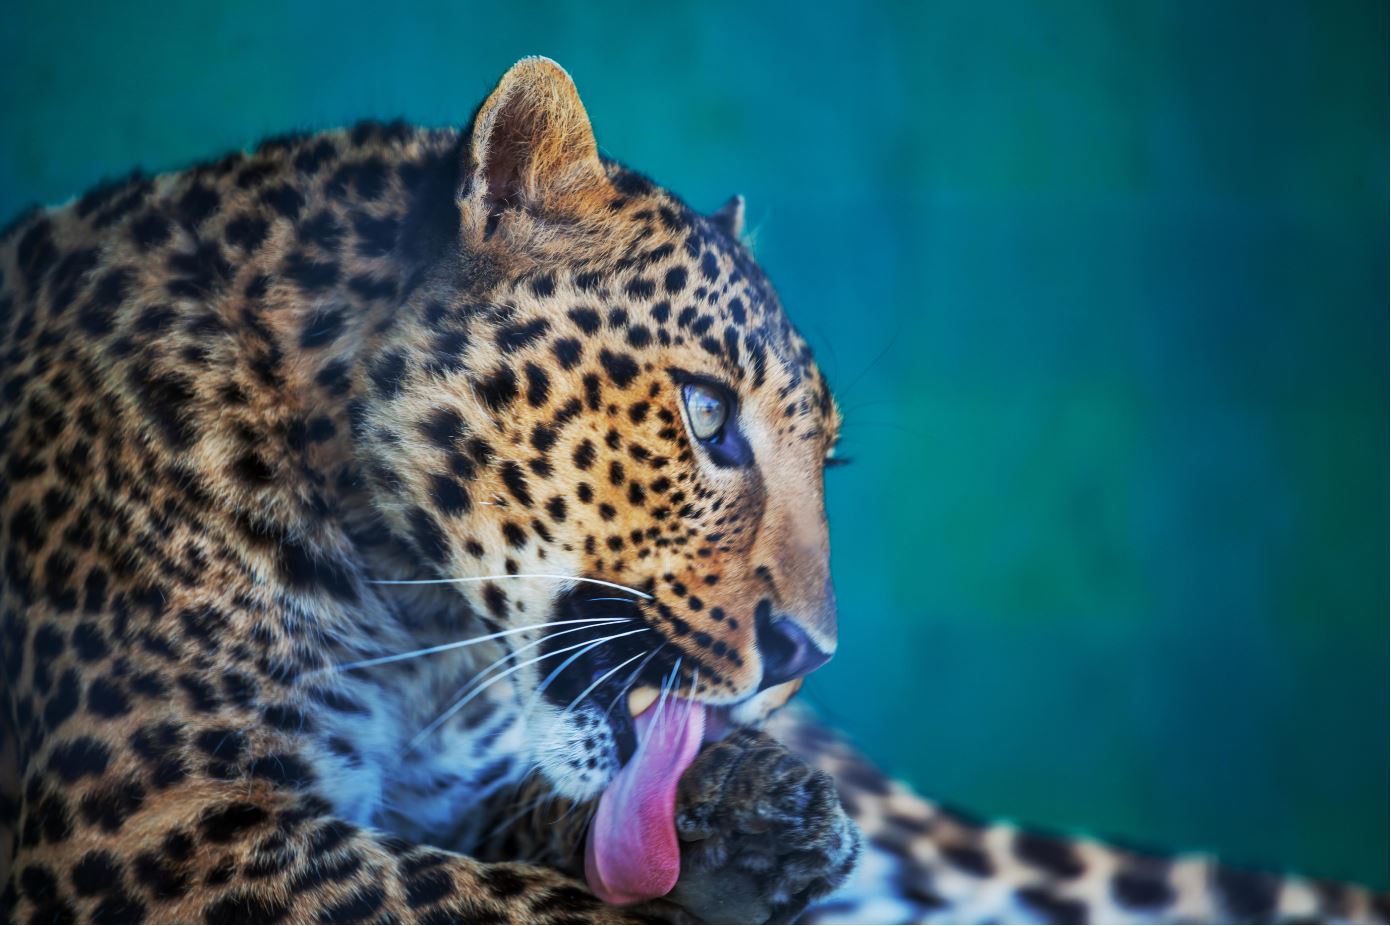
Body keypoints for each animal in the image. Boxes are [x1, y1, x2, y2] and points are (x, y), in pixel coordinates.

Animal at [0, 55, 1384, 925]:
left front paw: (750, 819)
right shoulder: (155, 825)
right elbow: (507, 900)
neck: (418, 635)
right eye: (706, 416)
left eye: (824, 459)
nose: (804, 656)